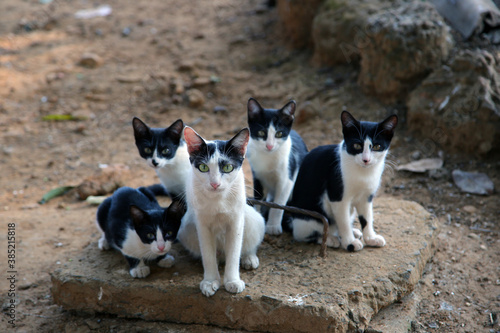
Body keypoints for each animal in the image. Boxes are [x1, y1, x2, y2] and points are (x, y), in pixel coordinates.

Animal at [178, 125, 268, 296]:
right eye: (203, 167)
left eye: (227, 168)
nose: (215, 184)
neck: (218, 200)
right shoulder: (201, 223)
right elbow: (207, 254)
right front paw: (210, 281)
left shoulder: (236, 222)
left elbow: (234, 252)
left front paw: (232, 281)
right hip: (186, 227)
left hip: (253, 218)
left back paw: (249, 258)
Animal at [246, 97, 308, 235]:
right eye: (261, 132)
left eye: (279, 134)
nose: (269, 146)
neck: (268, 157)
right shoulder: (257, 175)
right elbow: (258, 197)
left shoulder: (287, 180)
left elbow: (278, 205)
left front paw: (273, 226)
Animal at [286, 110, 398, 250]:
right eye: (357, 145)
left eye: (377, 146)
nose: (366, 160)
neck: (363, 173)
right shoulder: (337, 196)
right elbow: (343, 221)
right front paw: (350, 243)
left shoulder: (366, 197)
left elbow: (367, 217)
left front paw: (371, 238)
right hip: (308, 217)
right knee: (304, 234)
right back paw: (329, 239)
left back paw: (353, 232)